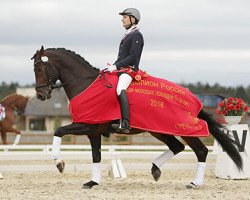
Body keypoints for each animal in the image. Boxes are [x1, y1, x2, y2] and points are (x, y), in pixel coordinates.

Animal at [31, 46, 242, 189]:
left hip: (181, 128)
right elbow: (96, 156)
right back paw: (155, 170)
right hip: (159, 129)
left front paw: (59, 163)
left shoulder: (86, 125)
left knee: (200, 151)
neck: (85, 84)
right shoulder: (93, 131)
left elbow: (59, 131)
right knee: (177, 147)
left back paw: (194, 183)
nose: (41, 95)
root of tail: (193, 98)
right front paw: (93, 182)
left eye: (40, 69)